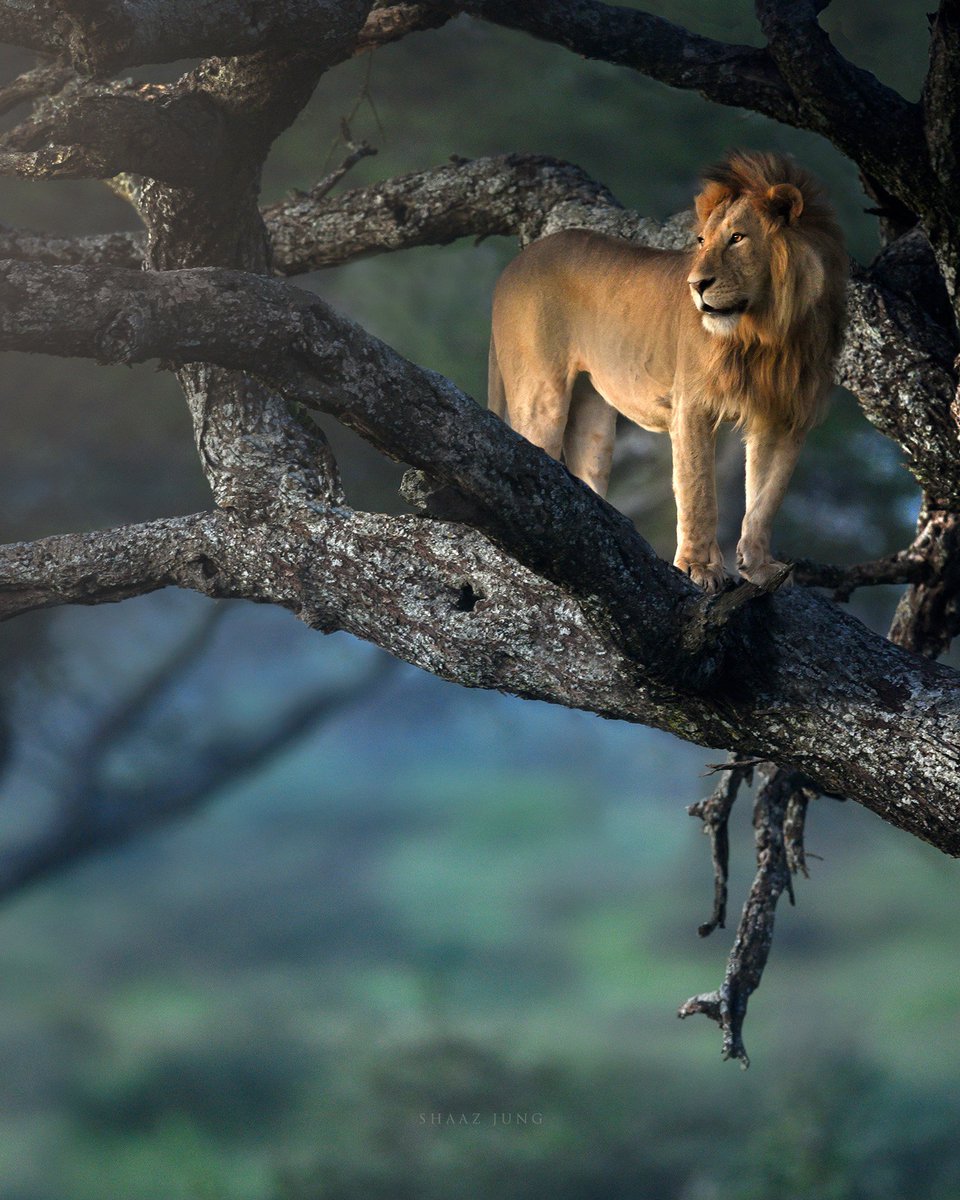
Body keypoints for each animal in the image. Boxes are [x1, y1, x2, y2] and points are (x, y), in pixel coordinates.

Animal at [488, 151, 847, 591]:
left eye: (737, 238)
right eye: (702, 241)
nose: (696, 285)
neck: (769, 333)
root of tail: (514, 265)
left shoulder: (786, 415)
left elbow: (767, 496)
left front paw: (759, 567)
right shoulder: (692, 405)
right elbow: (698, 491)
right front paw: (698, 568)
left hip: (593, 416)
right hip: (541, 394)